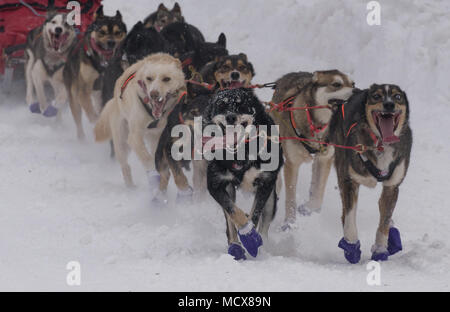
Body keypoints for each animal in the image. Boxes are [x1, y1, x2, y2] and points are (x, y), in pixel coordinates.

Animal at [203, 88, 282, 260]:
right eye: (221, 105)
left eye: (241, 105)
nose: (231, 117)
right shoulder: (215, 184)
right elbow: (232, 211)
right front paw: (246, 235)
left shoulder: (266, 182)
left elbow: (255, 214)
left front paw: (252, 238)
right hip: (229, 189)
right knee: (230, 218)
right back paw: (235, 246)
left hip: (271, 198)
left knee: (265, 223)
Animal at [328, 83, 414, 264]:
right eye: (376, 96)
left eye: (397, 97)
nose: (389, 104)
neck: (381, 145)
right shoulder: (350, 181)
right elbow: (350, 218)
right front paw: (351, 246)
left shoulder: (392, 186)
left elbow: (384, 221)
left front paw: (380, 250)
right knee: (344, 213)